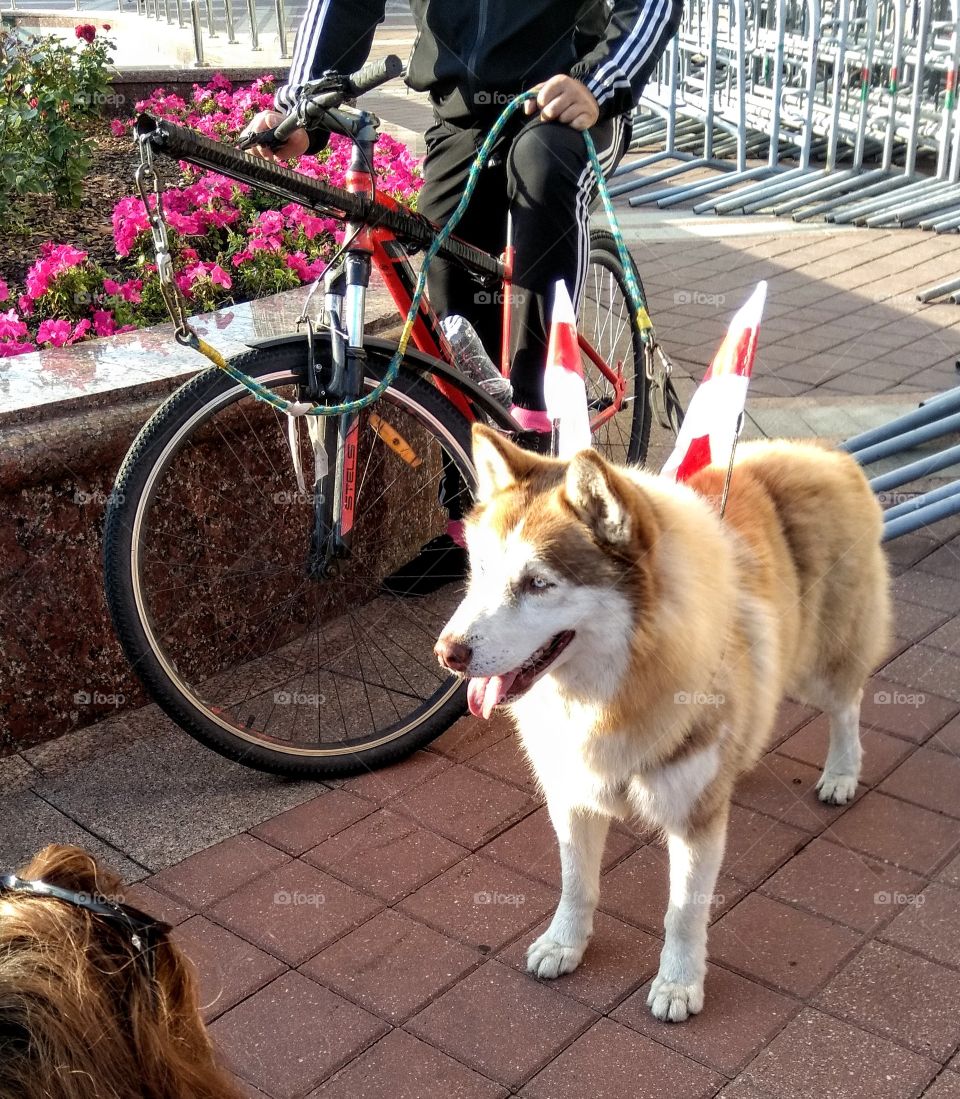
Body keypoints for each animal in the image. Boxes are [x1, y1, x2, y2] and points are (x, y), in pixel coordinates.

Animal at [434, 426, 891, 1019]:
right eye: (483, 570)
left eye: (538, 583)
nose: (447, 653)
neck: (615, 691)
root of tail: (819, 450)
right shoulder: (572, 795)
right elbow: (576, 882)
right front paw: (564, 943)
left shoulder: (695, 821)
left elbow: (683, 911)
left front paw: (679, 983)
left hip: (820, 662)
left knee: (847, 702)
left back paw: (841, 773)